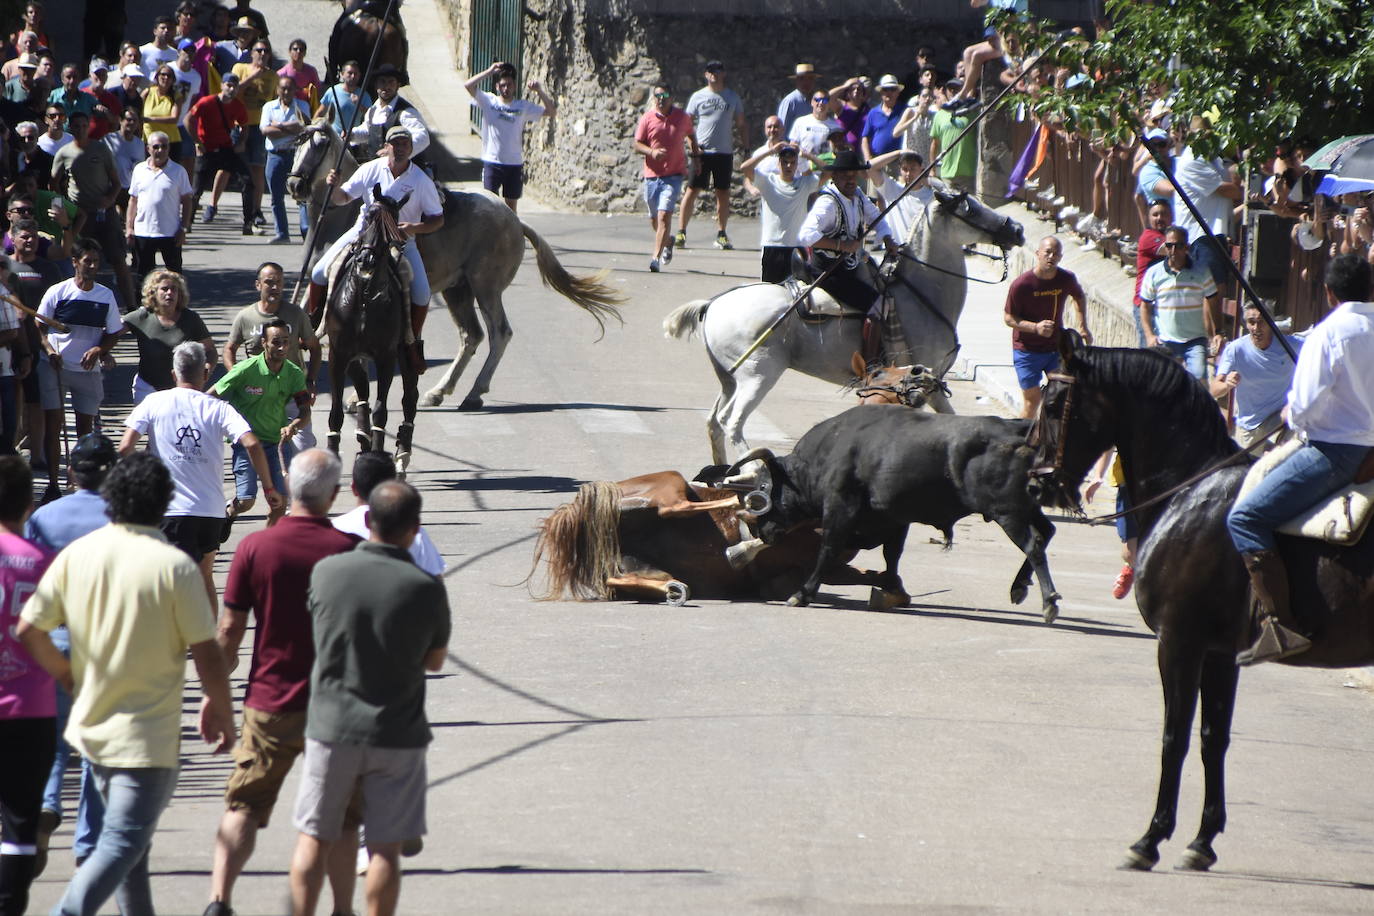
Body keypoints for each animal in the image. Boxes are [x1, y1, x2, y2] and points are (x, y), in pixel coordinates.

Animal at [289, 116, 623, 409]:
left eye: (321, 145)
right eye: (297, 143)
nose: (295, 185)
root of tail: (514, 220)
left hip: (486, 288)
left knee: (499, 332)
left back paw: (474, 393)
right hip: (457, 291)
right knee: (471, 335)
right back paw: (439, 391)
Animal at [659, 185, 1027, 461]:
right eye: (969, 208)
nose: (1017, 229)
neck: (921, 293)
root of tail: (714, 304)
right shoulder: (926, 382)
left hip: (729, 380)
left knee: (713, 423)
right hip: (758, 376)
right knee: (731, 422)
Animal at [730, 403, 1060, 620]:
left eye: (763, 486)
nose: (761, 531)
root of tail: (1017, 428)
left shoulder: (840, 507)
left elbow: (828, 549)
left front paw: (803, 593)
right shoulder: (895, 518)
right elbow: (892, 555)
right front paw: (892, 590)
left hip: (1008, 512)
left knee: (1033, 545)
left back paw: (1049, 602)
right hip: (1026, 508)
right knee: (1047, 531)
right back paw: (1019, 588)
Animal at [1033, 335, 1374, 873]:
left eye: (1052, 404)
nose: (1036, 481)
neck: (1190, 490)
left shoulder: (1180, 642)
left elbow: (1174, 736)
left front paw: (1149, 839)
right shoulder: (1220, 653)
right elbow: (1214, 738)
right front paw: (1201, 841)